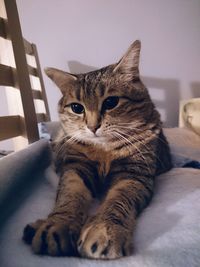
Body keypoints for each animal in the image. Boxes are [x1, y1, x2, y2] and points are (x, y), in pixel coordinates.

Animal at [22, 40, 172, 260]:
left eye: (111, 102)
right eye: (77, 108)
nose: (93, 127)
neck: (104, 150)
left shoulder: (134, 174)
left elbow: (118, 200)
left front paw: (103, 230)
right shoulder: (75, 168)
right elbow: (69, 195)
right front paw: (58, 225)